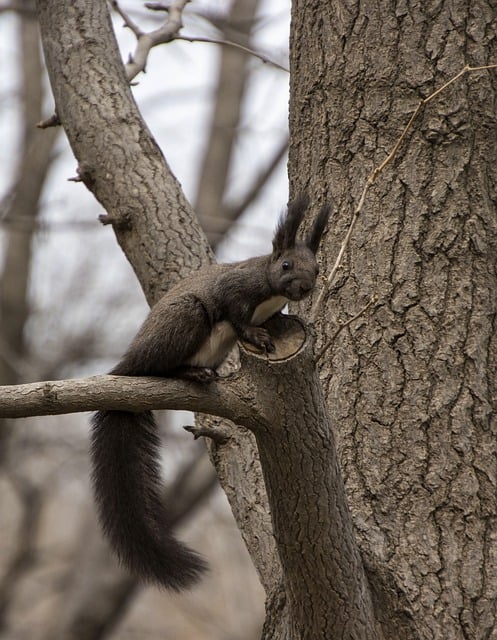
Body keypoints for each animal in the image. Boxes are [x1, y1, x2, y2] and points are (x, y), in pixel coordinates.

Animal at [90, 195, 330, 592]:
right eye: (286, 264)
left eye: (317, 268)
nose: (304, 288)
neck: (268, 289)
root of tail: (128, 366)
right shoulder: (234, 292)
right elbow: (237, 318)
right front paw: (257, 334)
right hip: (185, 320)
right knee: (162, 368)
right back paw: (192, 373)